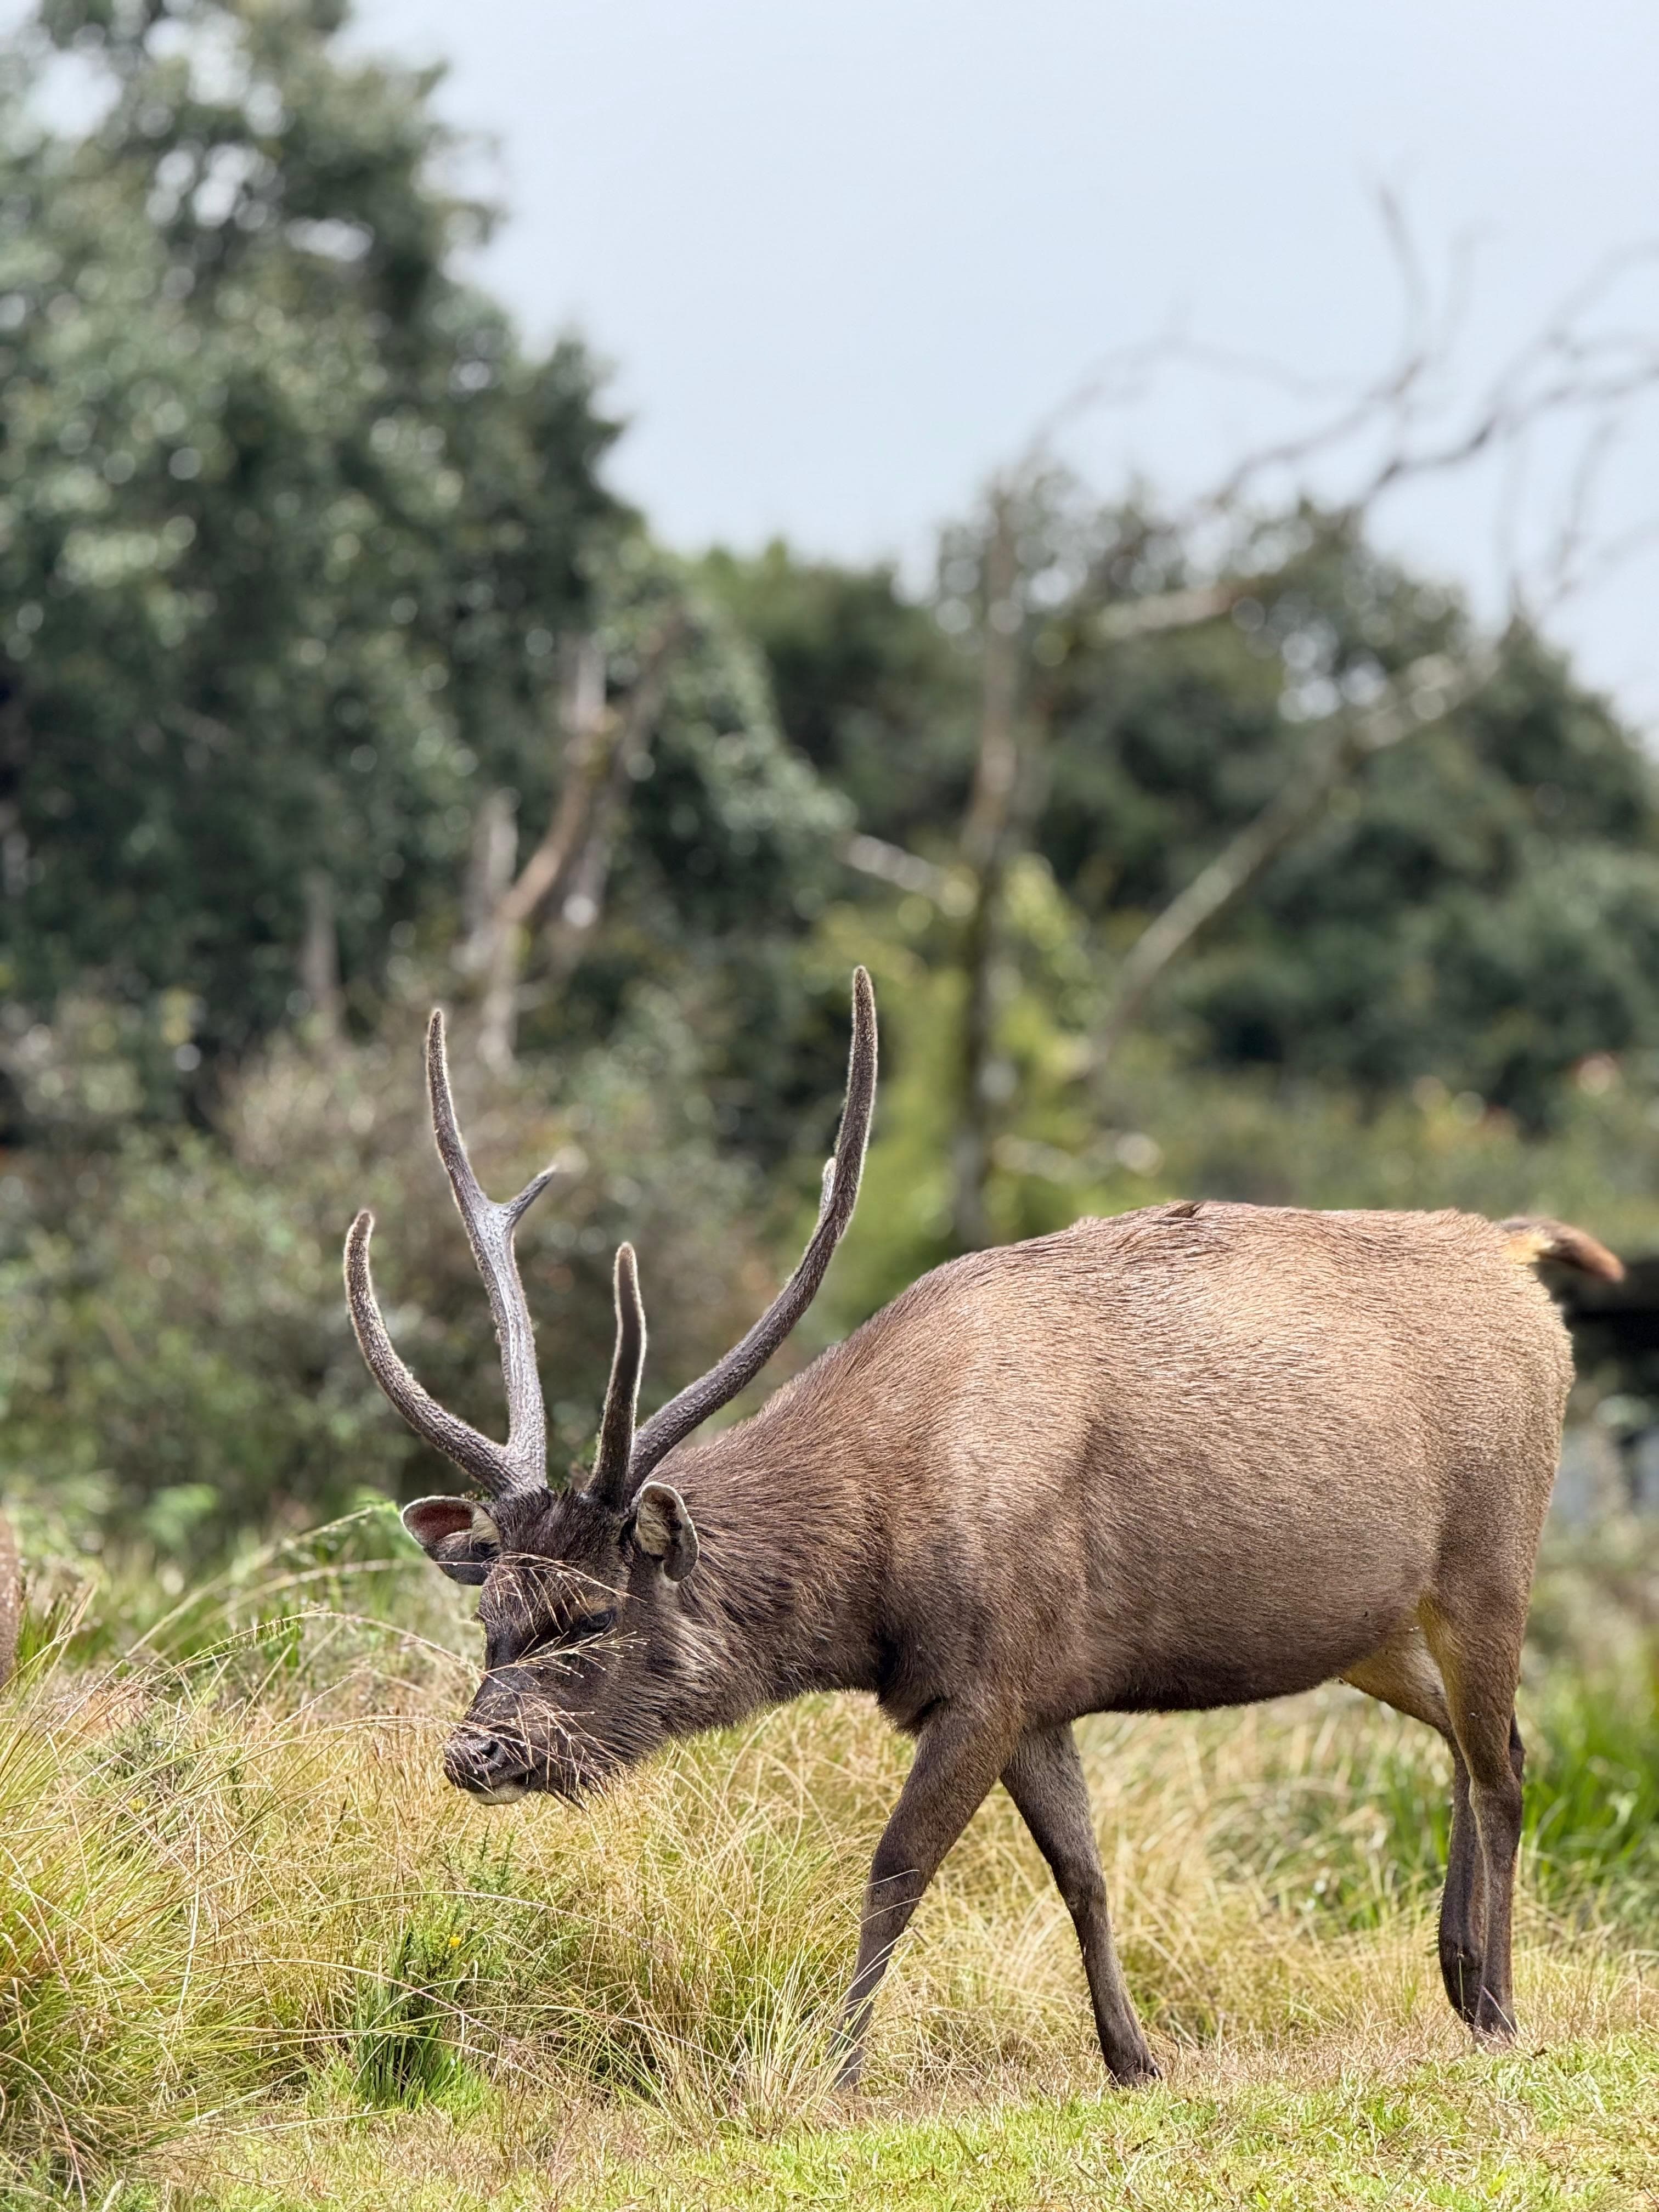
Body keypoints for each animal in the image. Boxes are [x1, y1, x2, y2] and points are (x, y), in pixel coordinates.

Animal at [345, 968, 1622, 2087]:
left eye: (595, 1612)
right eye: (492, 1611)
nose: (476, 1752)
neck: (874, 1583)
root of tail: (1518, 1257)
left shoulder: (989, 1676)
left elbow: (897, 1866)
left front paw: (839, 2070)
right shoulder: (1042, 1691)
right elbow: (1085, 1874)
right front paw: (1132, 2059)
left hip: (1492, 1554)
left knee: (1504, 1766)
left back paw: (1500, 2007)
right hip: (1375, 1628)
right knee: (1482, 1744)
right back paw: (1455, 1975)